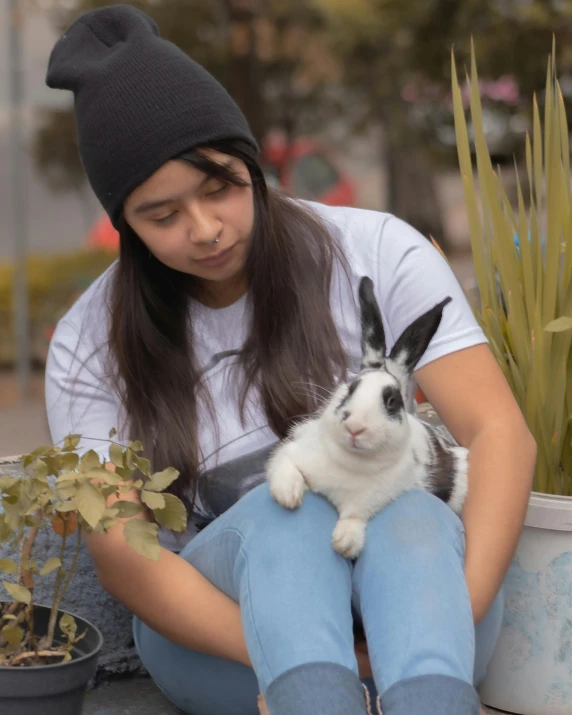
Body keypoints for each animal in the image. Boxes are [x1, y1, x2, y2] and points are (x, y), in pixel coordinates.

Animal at [266, 274, 466, 560]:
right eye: (350, 389)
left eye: (392, 402)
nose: (355, 427)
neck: (349, 462)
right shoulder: (292, 451)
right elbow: (284, 467)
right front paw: (288, 496)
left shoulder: (375, 499)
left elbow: (355, 518)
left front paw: (344, 543)